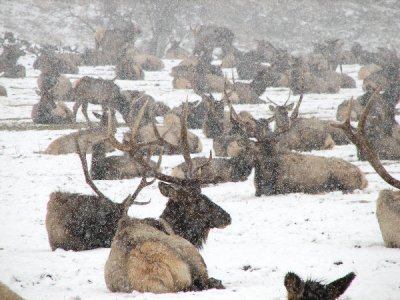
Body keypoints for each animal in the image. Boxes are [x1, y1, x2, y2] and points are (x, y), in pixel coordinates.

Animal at [104, 100, 231, 292]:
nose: (227, 216)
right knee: (208, 282)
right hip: (190, 255)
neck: (174, 227)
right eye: (197, 199)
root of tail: (158, 274)